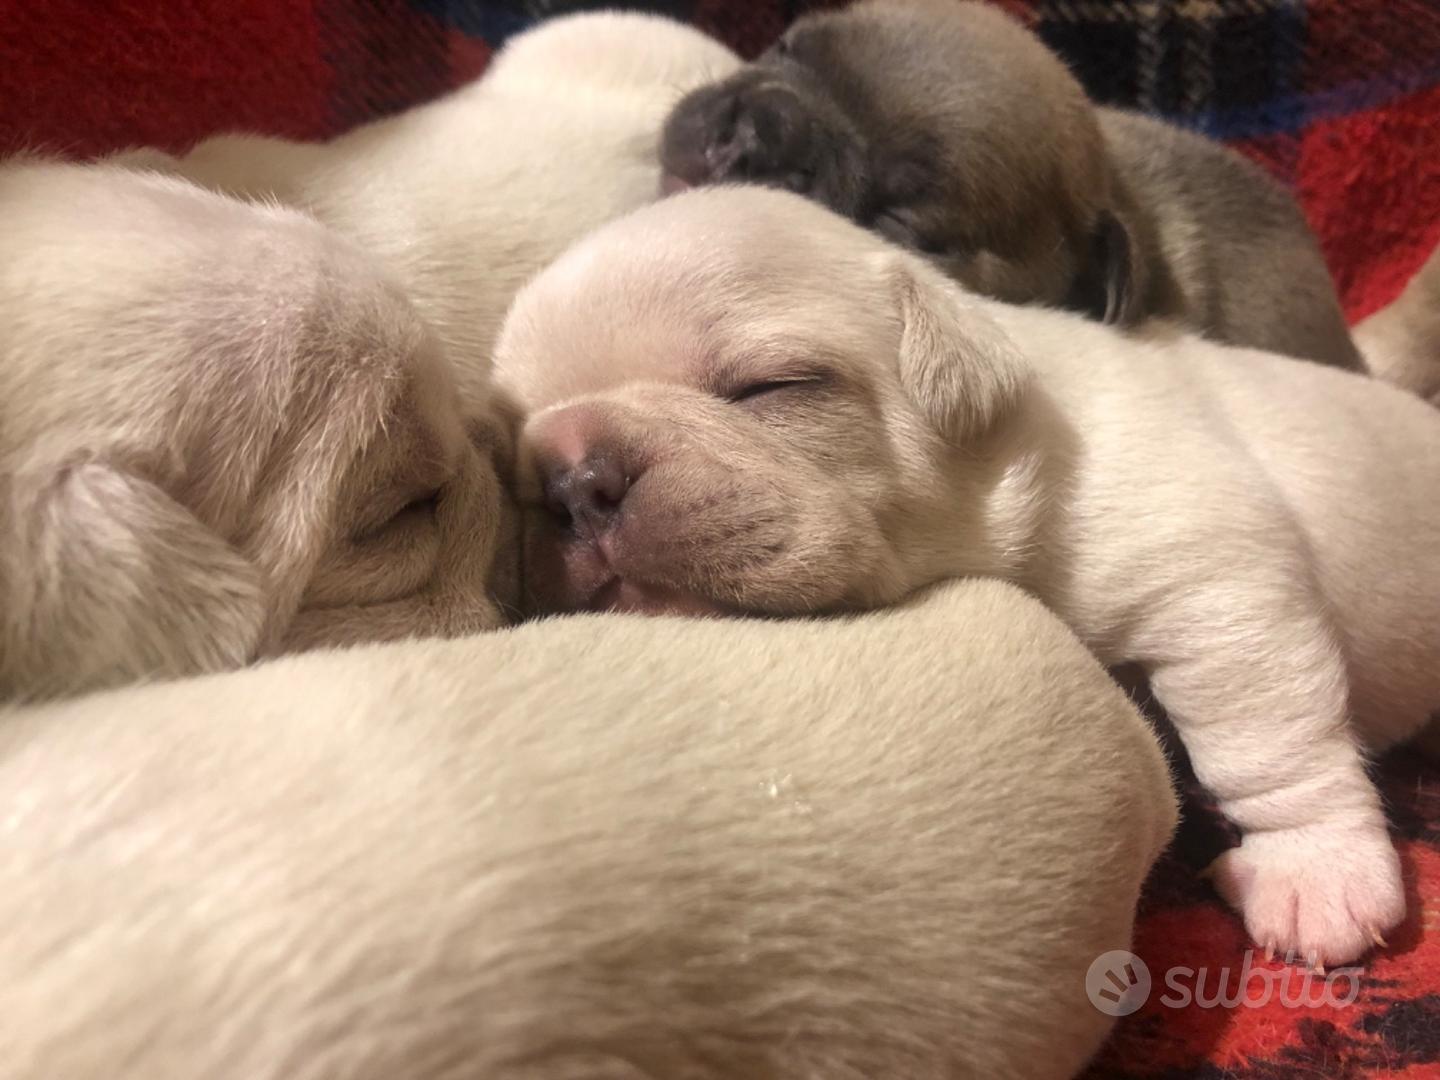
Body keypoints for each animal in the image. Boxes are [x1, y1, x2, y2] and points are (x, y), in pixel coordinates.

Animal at [495, 188, 1440, 973]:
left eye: (772, 387)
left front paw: (1313, 872)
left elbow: (1265, 741)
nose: (573, 480)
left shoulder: (1216, 574)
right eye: (516, 455)